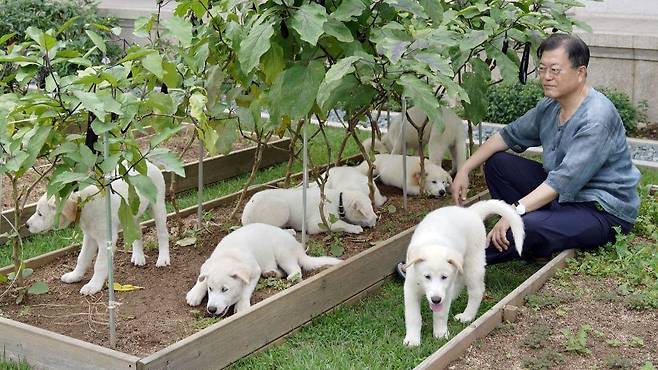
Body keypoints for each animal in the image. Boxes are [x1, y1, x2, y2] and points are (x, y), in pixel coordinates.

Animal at [26, 160, 169, 296]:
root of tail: (147, 164)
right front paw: (74, 276)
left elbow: (99, 265)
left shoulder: (105, 240)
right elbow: (82, 258)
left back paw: (163, 258)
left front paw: (93, 285)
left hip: (158, 207)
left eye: (40, 214)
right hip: (131, 214)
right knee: (136, 233)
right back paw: (138, 256)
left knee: (162, 234)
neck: (84, 204)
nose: (26, 225)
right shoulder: (89, 237)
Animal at [183, 223, 338, 316]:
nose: (211, 309)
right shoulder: (209, 264)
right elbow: (202, 278)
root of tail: (298, 246)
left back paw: (291, 276)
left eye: (225, 290)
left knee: (296, 269)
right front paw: (194, 293)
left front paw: (242, 305)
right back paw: (271, 273)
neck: (229, 255)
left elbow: (246, 290)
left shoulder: (254, 271)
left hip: (282, 252)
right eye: (210, 289)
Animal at [240, 188, 374, 234]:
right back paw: (289, 231)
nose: (376, 218)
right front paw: (354, 228)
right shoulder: (318, 223)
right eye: (367, 212)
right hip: (282, 209)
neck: (339, 200)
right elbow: (341, 224)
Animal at [400, 199, 524, 346]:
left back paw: (467, 316)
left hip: (473, 264)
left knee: (476, 291)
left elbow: (440, 314)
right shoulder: (410, 288)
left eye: (444, 277)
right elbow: (413, 316)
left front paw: (440, 334)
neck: (433, 243)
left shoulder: (445, 289)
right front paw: (412, 340)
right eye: (427, 276)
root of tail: (472, 211)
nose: (436, 300)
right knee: (459, 281)